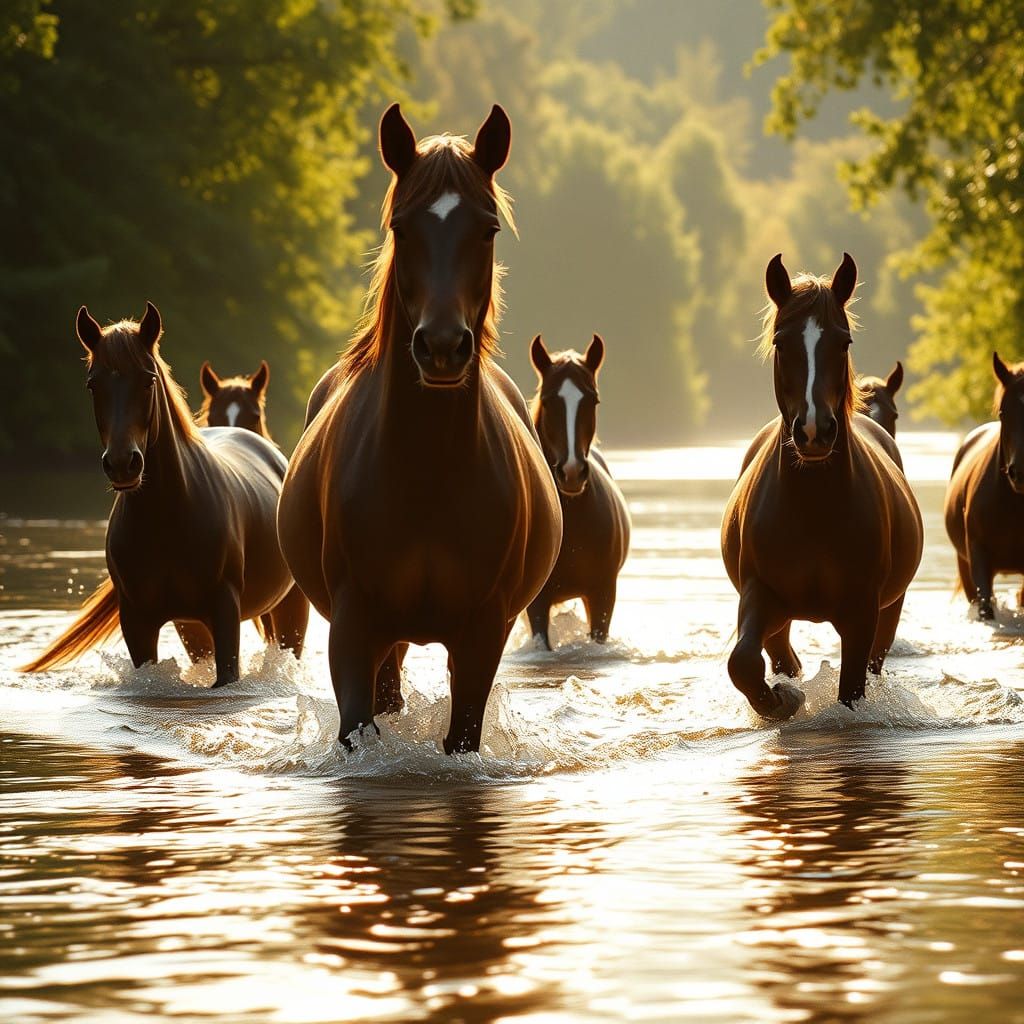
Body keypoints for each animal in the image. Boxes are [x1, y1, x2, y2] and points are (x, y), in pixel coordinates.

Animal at [22, 303, 308, 679]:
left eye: (149, 380)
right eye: (92, 384)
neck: (167, 517)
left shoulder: (225, 613)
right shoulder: (139, 623)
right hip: (193, 627)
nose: (122, 463)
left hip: (290, 609)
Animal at [277, 104, 562, 754]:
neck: (428, 476)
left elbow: (463, 735)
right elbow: (357, 727)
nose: (441, 347)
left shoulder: (481, 634)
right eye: (402, 229)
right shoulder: (355, 629)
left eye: (487, 230)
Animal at [721, 253, 922, 719]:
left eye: (843, 341)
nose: (814, 431)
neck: (812, 511)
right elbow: (743, 662)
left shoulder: (863, 613)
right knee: (779, 655)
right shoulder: (760, 594)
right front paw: (783, 698)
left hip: (890, 610)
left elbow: (852, 689)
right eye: (781, 342)